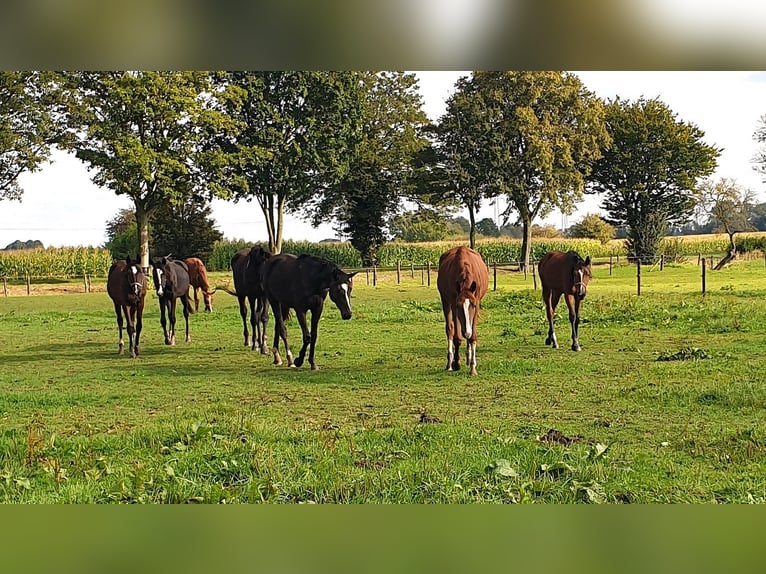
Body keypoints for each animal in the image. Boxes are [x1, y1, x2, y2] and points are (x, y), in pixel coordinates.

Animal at [436, 246, 488, 378]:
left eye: (473, 305)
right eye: (459, 306)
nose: (467, 332)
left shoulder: (477, 303)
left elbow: (472, 337)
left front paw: (473, 367)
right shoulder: (453, 304)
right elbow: (457, 337)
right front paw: (456, 363)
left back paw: (468, 357)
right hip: (445, 301)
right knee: (450, 329)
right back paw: (449, 363)